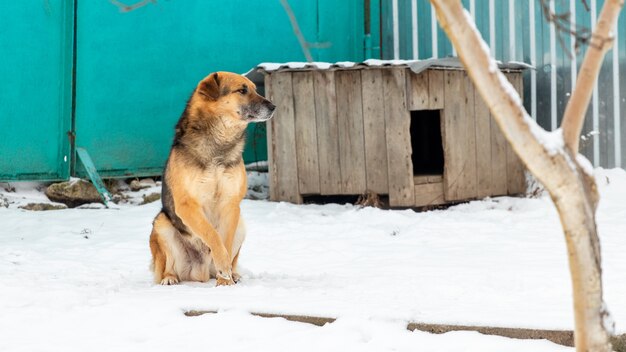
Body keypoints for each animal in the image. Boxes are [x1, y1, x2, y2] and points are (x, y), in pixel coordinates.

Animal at [147, 71, 274, 286]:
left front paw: (225, 279)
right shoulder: (187, 206)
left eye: (254, 89)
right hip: (161, 224)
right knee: (167, 265)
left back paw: (232, 274)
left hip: (241, 223)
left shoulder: (231, 204)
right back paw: (170, 278)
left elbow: (225, 242)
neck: (219, 145)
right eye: (242, 90)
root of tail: (202, 272)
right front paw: (224, 269)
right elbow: (212, 234)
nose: (273, 106)